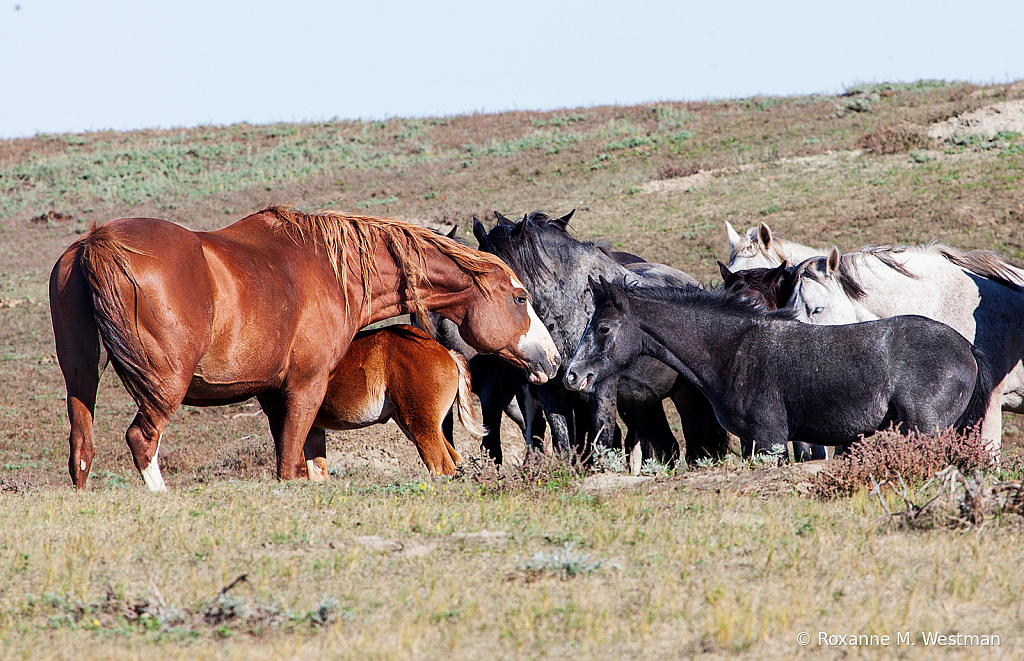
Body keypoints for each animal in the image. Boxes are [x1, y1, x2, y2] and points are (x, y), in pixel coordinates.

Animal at [305, 325, 485, 476]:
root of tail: (447, 352)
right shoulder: (314, 430)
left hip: (419, 426)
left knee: (442, 466)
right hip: (424, 426)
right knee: (455, 460)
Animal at [473, 210, 729, 466]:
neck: (571, 311)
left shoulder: (601, 393)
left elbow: (602, 444)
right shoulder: (552, 395)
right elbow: (565, 446)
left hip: (687, 397)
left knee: (696, 447)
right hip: (645, 403)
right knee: (668, 445)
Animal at [565, 280, 995, 456]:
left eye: (603, 327)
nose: (572, 375)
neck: (733, 351)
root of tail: (966, 347)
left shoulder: (769, 439)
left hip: (926, 429)